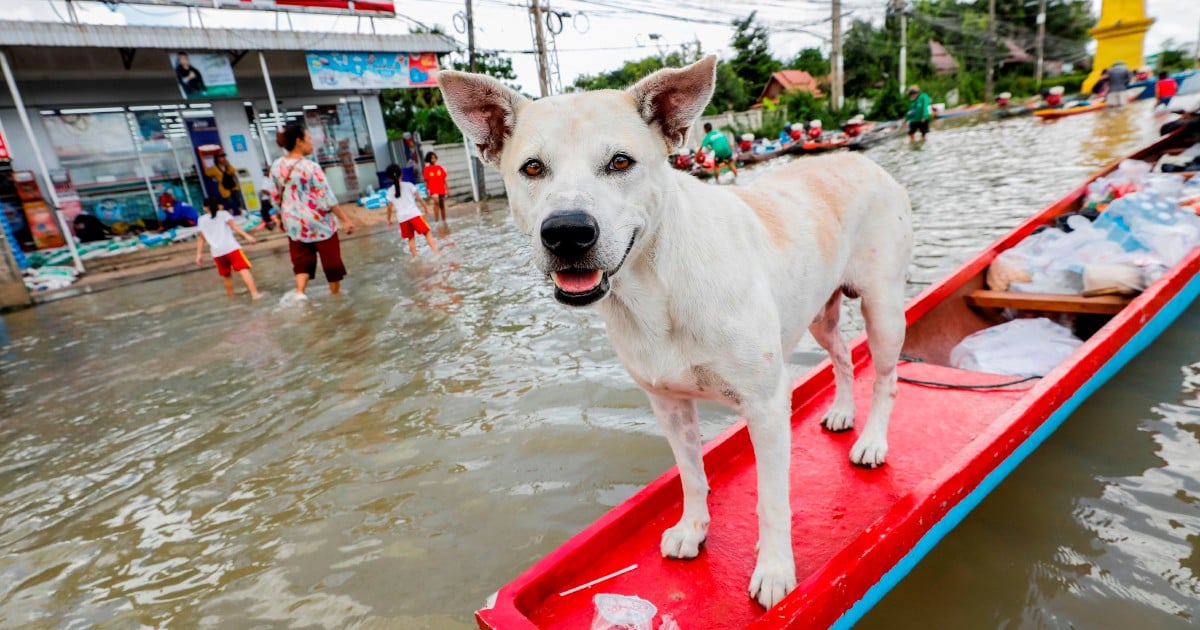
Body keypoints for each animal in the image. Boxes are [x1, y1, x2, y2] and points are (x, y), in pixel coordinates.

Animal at [444, 55, 916, 609]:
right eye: (533, 168)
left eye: (620, 162)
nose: (567, 232)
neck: (654, 287)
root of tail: (864, 163)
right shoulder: (667, 402)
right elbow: (690, 475)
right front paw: (693, 530)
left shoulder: (766, 405)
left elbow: (772, 500)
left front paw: (775, 570)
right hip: (819, 313)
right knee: (841, 354)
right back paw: (842, 412)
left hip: (883, 311)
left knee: (886, 378)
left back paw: (873, 442)